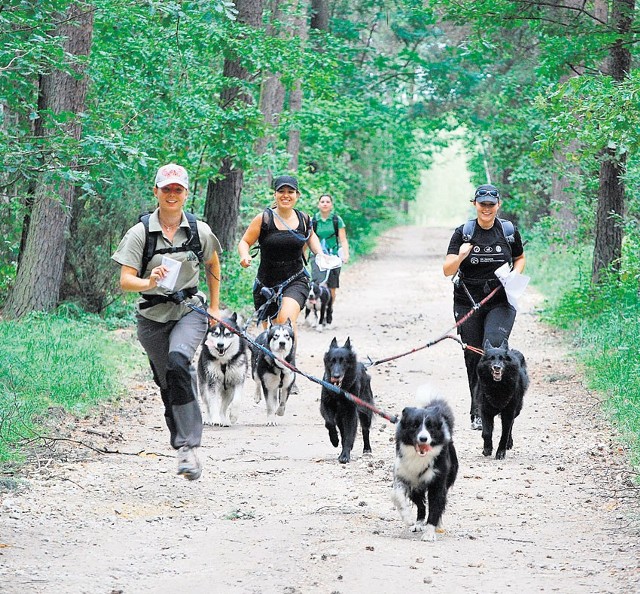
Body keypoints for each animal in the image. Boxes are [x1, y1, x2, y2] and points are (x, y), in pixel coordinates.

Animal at [390, 394, 460, 540]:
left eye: (430, 426)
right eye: (414, 425)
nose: (423, 438)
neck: (419, 457)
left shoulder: (438, 482)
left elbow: (435, 507)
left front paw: (429, 533)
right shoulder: (403, 476)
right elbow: (397, 495)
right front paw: (407, 518)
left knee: (440, 504)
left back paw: (438, 525)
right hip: (416, 488)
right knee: (421, 505)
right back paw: (418, 524)